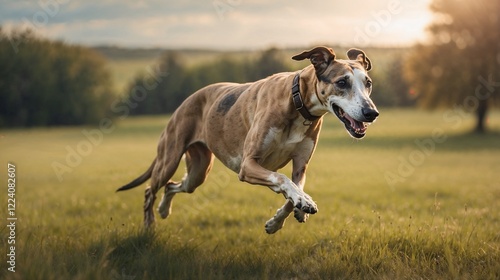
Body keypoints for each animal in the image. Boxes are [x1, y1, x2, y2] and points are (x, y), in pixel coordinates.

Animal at [117, 46, 376, 234]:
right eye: (341, 82)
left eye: (368, 83)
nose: (371, 113)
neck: (298, 103)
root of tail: (183, 103)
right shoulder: (249, 164)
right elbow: (281, 179)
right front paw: (300, 202)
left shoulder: (300, 166)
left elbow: (294, 189)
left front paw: (284, 217)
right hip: (169, 159)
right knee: (150, 190)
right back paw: (149, 224)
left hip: (198, 172)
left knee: (173, 185)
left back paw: (163, 210)